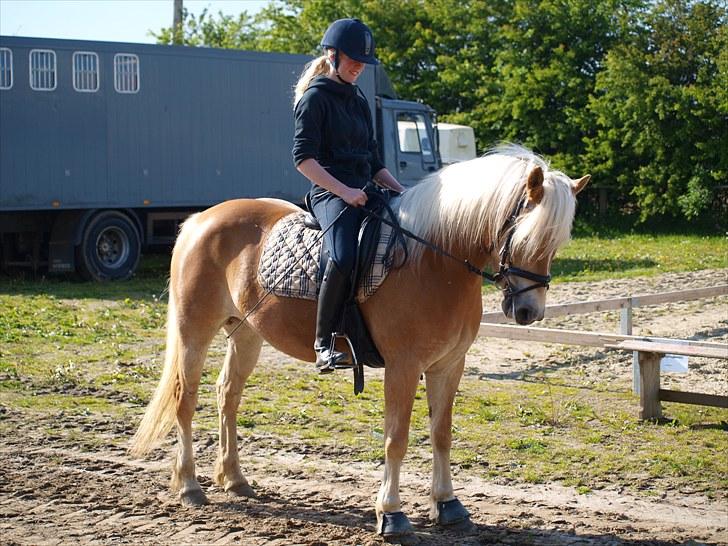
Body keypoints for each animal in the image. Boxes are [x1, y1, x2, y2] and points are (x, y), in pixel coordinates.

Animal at [129, 143, 584, 536]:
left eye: (556, 243)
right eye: (526, 237)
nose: (529, 313)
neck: (434, 260)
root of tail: (199, 220)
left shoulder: (448, 365)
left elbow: (442, 433)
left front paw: (448, 505)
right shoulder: (403, 367)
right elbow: (396, 438)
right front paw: (392, 514)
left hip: (246, 334)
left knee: (228, 396)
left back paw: (235, 479)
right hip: (194, 331)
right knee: (185, 399)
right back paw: (190, 485)